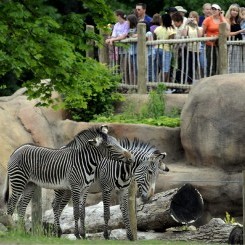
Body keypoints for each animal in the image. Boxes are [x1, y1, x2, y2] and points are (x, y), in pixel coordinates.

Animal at [2, 125, 134, 238]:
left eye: (117, 143)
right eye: (109, 147)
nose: (131, 158)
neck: (85, 161)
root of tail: (17, 149)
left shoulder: (84, 189)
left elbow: (81, 212)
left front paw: (82, 234)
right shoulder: (76, 188)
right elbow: (76, 212)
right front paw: (77, 235)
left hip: (30, 184)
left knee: (21, 206)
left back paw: (22, 232)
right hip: (19, 181)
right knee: (11, 205)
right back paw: (11, 231)